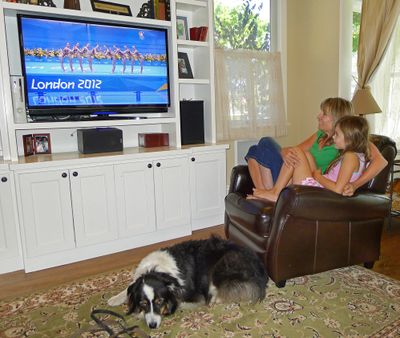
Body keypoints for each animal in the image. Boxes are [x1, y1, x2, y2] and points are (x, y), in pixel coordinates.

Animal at [108, 236, 268, 328]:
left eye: (160, 301)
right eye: (143, 303)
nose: (152, 326)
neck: (157, 271)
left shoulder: (195, 296)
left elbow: (178, 302)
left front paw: (140, 315)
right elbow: (129, 287)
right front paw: (114, 299)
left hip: (219, 267)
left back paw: (216, 299)